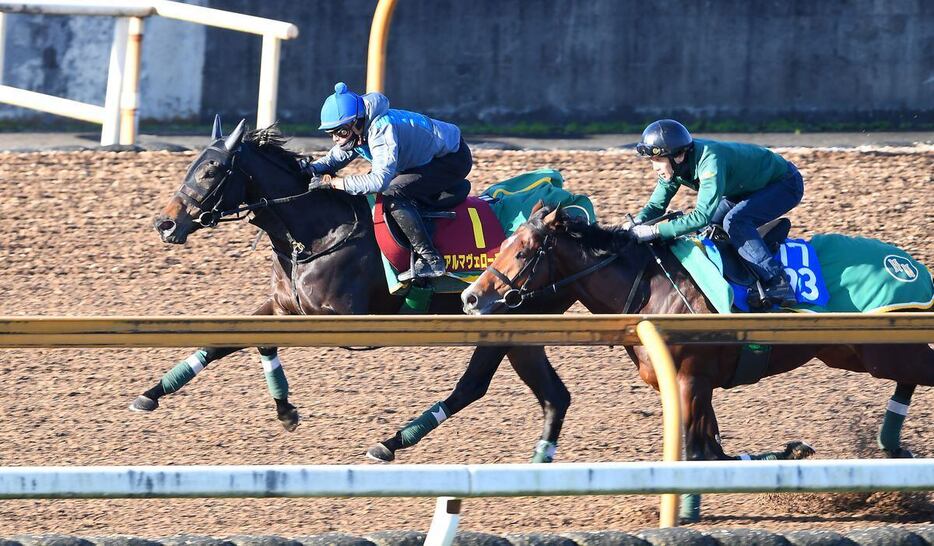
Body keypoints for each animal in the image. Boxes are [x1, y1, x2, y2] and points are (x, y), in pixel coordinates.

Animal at [126, 119, 576, 460]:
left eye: (210, 170)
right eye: (192, 165)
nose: (164, 224)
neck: (318, 232)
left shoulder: (340, 320)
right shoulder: (284, 306)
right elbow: (237, 341)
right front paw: (155, 392)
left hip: (514, 322)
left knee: (492, 388)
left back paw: (394, 443)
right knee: (532, 394)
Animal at [460, 203, 934, 520]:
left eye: (523, 253)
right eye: (501, 245)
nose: (470, 298)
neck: (651, 288)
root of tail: (908, 263)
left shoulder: (689, 378)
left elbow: (696, 450)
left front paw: (686, 511)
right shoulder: (697, 383)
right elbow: (710, 449)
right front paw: (788, 451)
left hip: (883, 351)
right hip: (854, 354)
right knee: (906, 382)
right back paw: (891, 443)